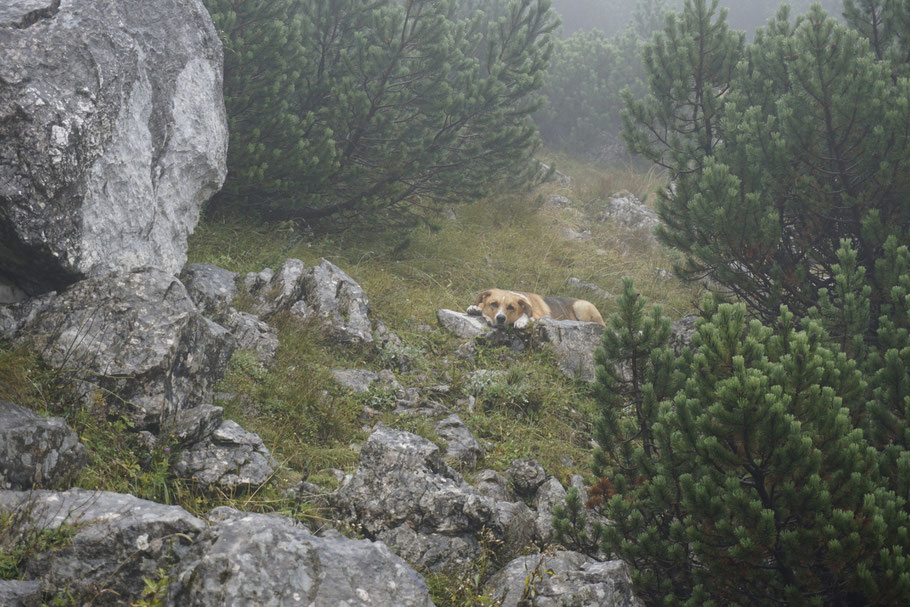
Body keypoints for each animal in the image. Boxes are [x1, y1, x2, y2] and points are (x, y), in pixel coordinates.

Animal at [470, 288, 604, 328]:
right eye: (494, 304)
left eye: (511, 307)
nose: (501, 318)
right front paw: (475, 307)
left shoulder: (539, 316)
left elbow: (527, 315)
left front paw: (521, 321)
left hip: (581, 306)